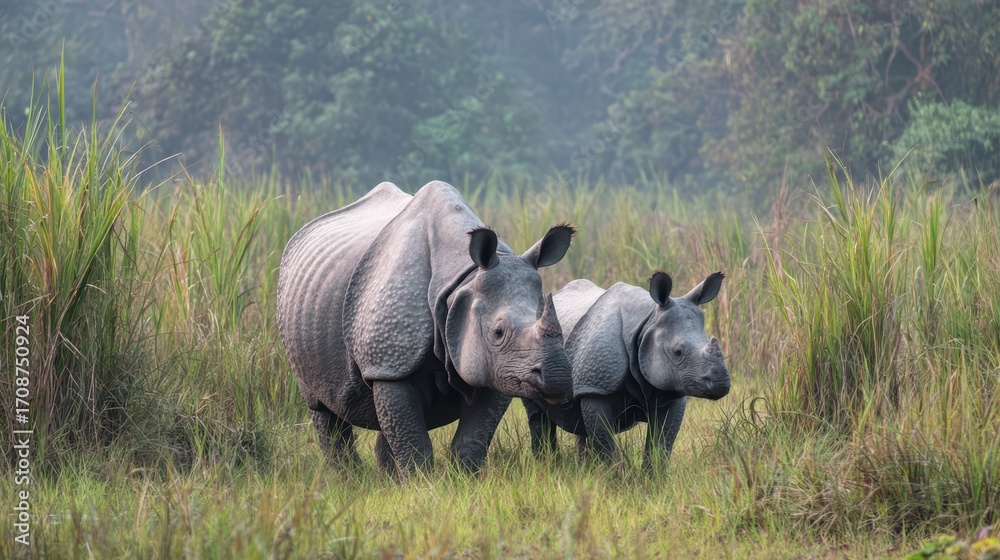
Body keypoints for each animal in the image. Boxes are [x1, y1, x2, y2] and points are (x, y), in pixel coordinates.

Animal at [277, 181, 574, 475]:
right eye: (498, 332)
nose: (556, 376)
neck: (461, 280)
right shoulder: (389, 363)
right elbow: (413, 441)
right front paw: (420, 482)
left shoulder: (497, 369)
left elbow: (472, 437)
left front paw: (465, 478)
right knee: (322, 407)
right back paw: (348, 477)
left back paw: (386, 480)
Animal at [522, 271, 730, 466]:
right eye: (678, 352)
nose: (721, 382)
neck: (647, 322)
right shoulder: (596, 387)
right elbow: (605, 444)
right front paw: (614, 477)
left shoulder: (671, 389)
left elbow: (662, 444)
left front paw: (654, 478)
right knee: (538, 414)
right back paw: (549, 466)